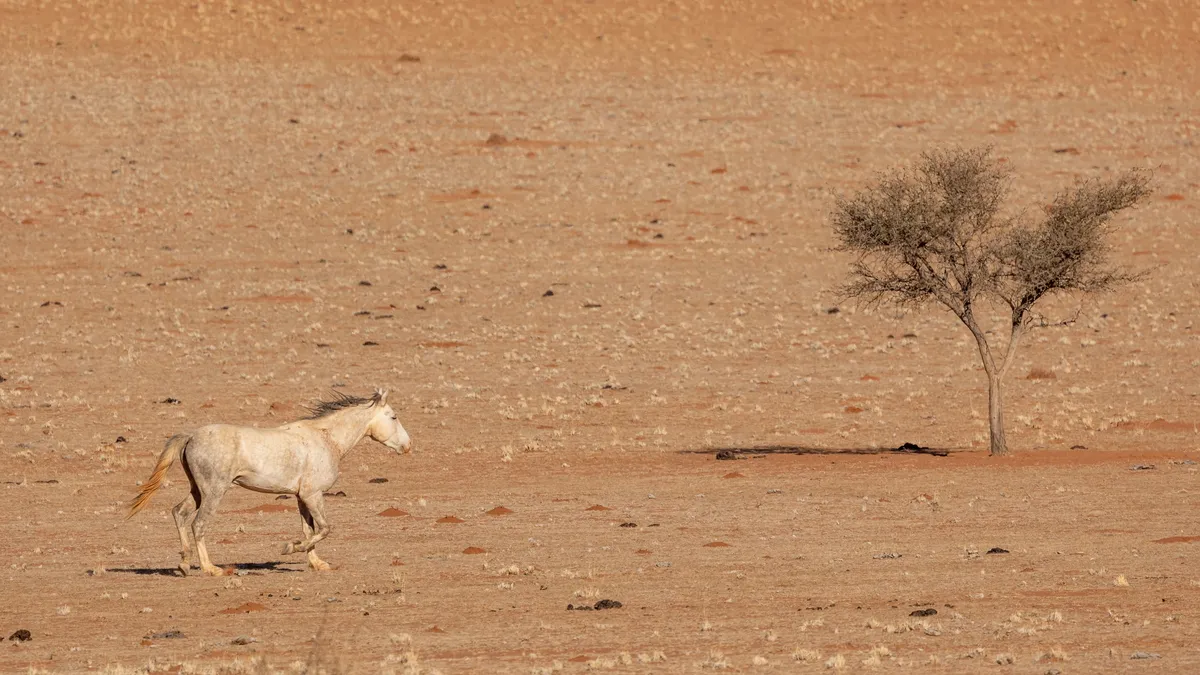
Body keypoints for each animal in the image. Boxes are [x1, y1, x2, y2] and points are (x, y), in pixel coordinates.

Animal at [127, 389, 411, 576]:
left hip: (198, 490)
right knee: (198, 524)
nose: (407, 446)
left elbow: (309, 529)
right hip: (214, 492)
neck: (326, 438)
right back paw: (210, 568)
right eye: (393, 416)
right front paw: (289, 548)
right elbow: (324, 529)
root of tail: (190, 436)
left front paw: (317, 563)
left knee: (179, 512)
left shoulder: (301, 497)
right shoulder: (313, 495)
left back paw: (184, 564)